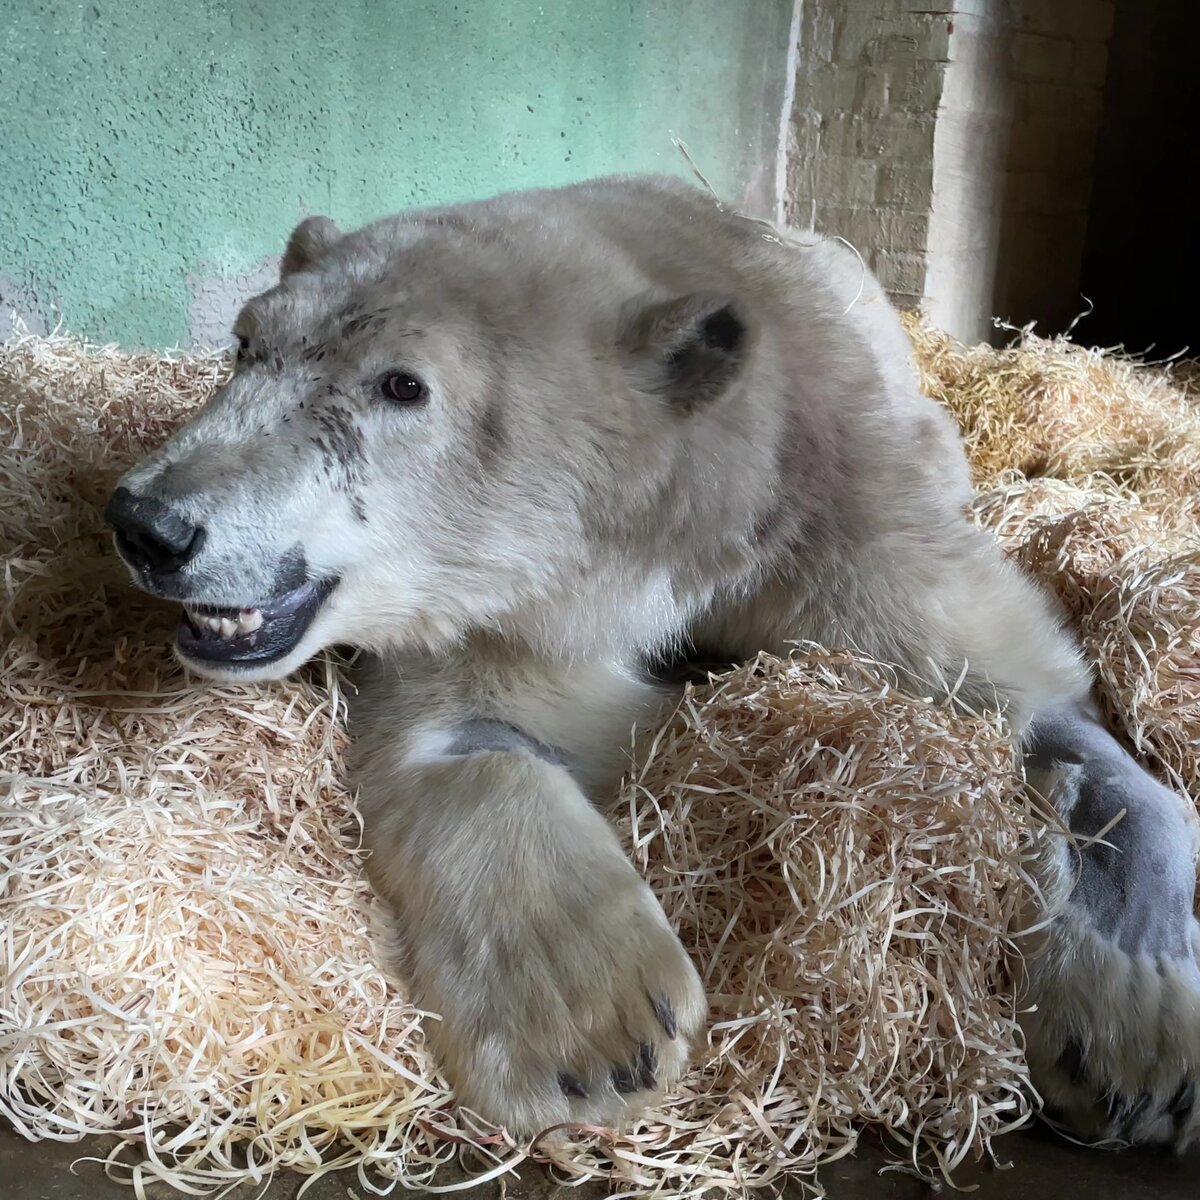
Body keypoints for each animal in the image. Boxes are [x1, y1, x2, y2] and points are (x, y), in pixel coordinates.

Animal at [108, 175, 1195, 1142]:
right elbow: (470, 735)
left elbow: (1034, 698)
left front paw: (1135, 1044)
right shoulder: (511, 612)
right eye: (244, 344)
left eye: (401, 385)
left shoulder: (843, 511)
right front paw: (597, 1032)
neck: (699, 503)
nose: (150, 523)